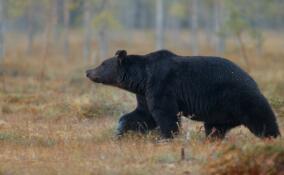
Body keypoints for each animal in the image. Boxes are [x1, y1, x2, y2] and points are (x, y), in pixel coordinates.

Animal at [85, 50, 280, 139]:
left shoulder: (162, 84)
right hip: (219, 112)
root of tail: (252, 79)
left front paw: (166, 138)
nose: (88, 71)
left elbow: (165, 114)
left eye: (102, 64)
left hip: (239, 96)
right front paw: (119, 131)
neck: (142, 78)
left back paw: (273, 137)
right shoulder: (145, 92)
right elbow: (143, 115)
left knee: (261, 118)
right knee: (214, 128)